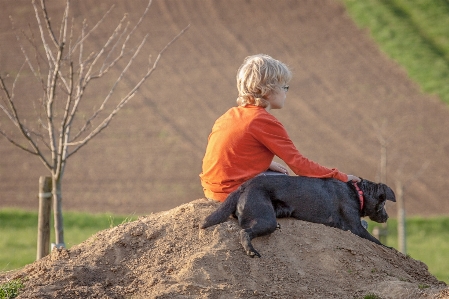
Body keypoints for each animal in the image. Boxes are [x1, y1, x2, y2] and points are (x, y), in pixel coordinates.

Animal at [201, 176, 394, 258]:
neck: (358, 193)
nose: (387, 217)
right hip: (266, 220)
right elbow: (378, 242)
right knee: (244, 233)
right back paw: (251, 251)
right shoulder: (355, 227)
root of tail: (245, 185)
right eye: (384, 202)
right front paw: (390, 248)